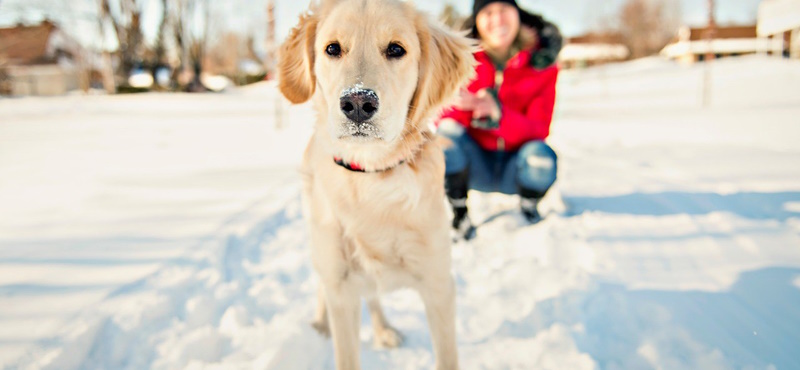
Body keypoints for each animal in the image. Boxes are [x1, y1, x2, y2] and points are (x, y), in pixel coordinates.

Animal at [276, 0, 472, 368]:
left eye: (396, 49)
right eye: (332, 49)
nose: (357, 103)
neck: (371, 178)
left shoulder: (439, 284)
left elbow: (447, 355)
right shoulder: (341, 288)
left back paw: (383, 331)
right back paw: (320, 323)